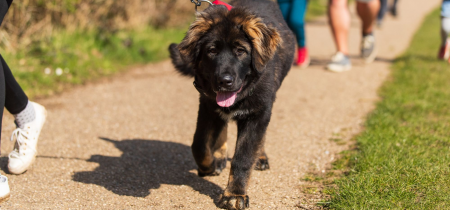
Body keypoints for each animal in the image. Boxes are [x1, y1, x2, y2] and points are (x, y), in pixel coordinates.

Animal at [169, 0, 296, 208]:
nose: (224, 81)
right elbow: (199, 144)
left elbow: (243, 157)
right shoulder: (207, 106)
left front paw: (235, 194)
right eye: (212, 51)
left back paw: (260, 157)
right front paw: (208, 165)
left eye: (241, 51)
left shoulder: (258, 113)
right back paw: (220, 157)